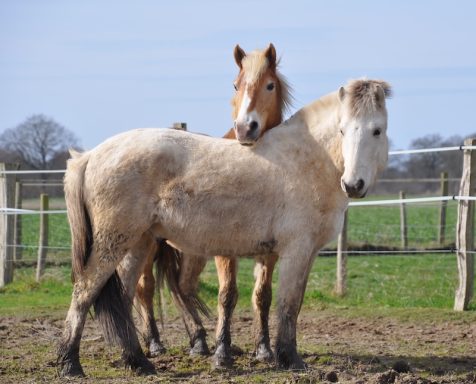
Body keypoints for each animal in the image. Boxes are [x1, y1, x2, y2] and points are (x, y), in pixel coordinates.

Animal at [56, 79, 390, 378]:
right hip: (112, 243)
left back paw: (138, 362)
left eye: (377, 130)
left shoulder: (302, 254)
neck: (308, 160)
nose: (353, 184)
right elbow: (288, 304)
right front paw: (290, 359)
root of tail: (91, 156)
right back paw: (70, 365)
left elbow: (285, 303)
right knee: (85, 292)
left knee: (125, 298)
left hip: (137, 244)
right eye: (343, 130)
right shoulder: (296, 251)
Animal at [132, 43, 292, 362]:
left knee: (182, 287)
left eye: (269, 85)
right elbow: (227, 295)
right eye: (236, 85)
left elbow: (262, 296)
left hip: (192, 250)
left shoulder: (268, 250)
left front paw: (263, 349)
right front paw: (222, 352)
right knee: (146, 288)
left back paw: (198, 340)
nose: (245, 128)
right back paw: (155, 342)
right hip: (150, 244)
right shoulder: (224, 249)